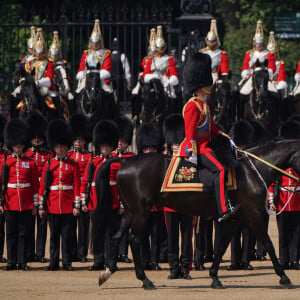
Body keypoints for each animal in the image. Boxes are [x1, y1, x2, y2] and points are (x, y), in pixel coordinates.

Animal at [92, 139, 298, 290]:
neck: (252, 170)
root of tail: (126, 160)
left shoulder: (235, 218)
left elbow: (221, 246)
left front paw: (215, 277)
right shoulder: (253, 214)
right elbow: (269, 244)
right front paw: (284, 277)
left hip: (131, 211)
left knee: (117, 236)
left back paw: (107, 272)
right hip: (142, 212)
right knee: (134, 239)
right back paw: (145, 280)